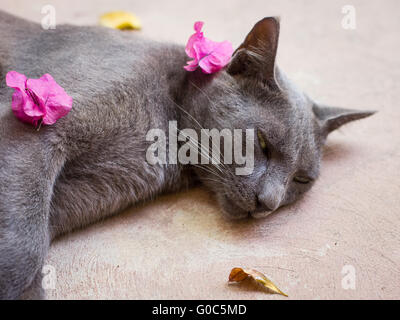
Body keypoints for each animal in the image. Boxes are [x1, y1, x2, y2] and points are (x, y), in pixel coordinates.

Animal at [0, 10, 376, 300]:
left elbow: (33, 242)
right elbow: (25, 249)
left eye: (301, 180)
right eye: (263, 143)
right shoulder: (35, 130)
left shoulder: (71, 199)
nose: (269, 203)